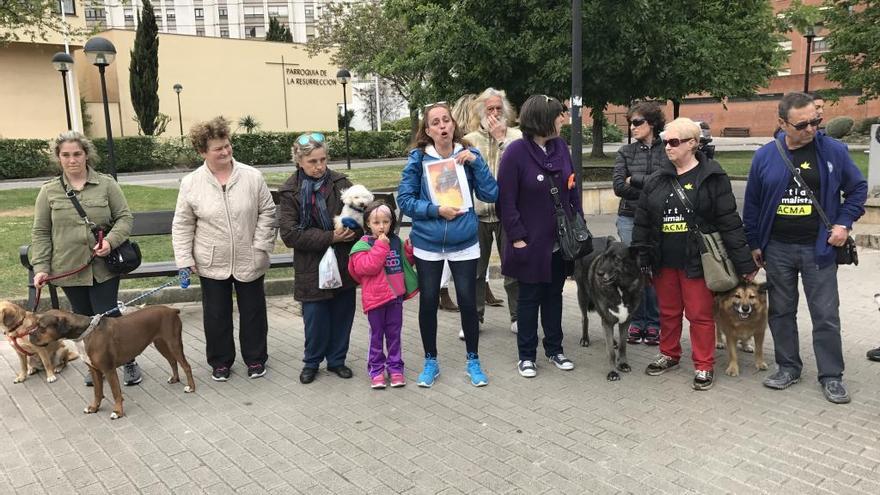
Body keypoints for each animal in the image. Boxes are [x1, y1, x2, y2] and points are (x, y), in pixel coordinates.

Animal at [30, 306, 195, 418]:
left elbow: (116, 393)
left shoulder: (109, 370)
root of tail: (172, 310)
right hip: (161, 344)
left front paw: (117, 411)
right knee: (172, 361)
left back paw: (191, 387)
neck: (87, 333)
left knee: (186, 365)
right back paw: (175, 378)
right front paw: (94, 408)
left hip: (173, 343)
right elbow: (97, 392)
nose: (29, 335)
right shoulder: (95, 370)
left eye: (41, 327)